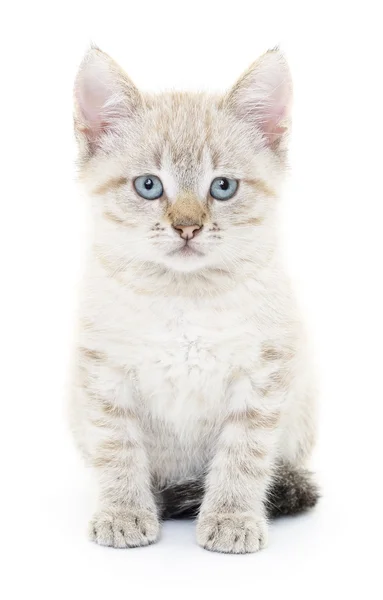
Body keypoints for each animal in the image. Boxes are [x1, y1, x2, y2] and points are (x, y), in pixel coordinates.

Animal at [70, 45, 320, 552]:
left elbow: (242, 456)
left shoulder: (263, 375)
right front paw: (123, 513)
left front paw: (231, 518)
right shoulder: (104, 373)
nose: (187, 226)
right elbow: (117, 448)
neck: (182, 297)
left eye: (222, 186)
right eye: (148, 185)